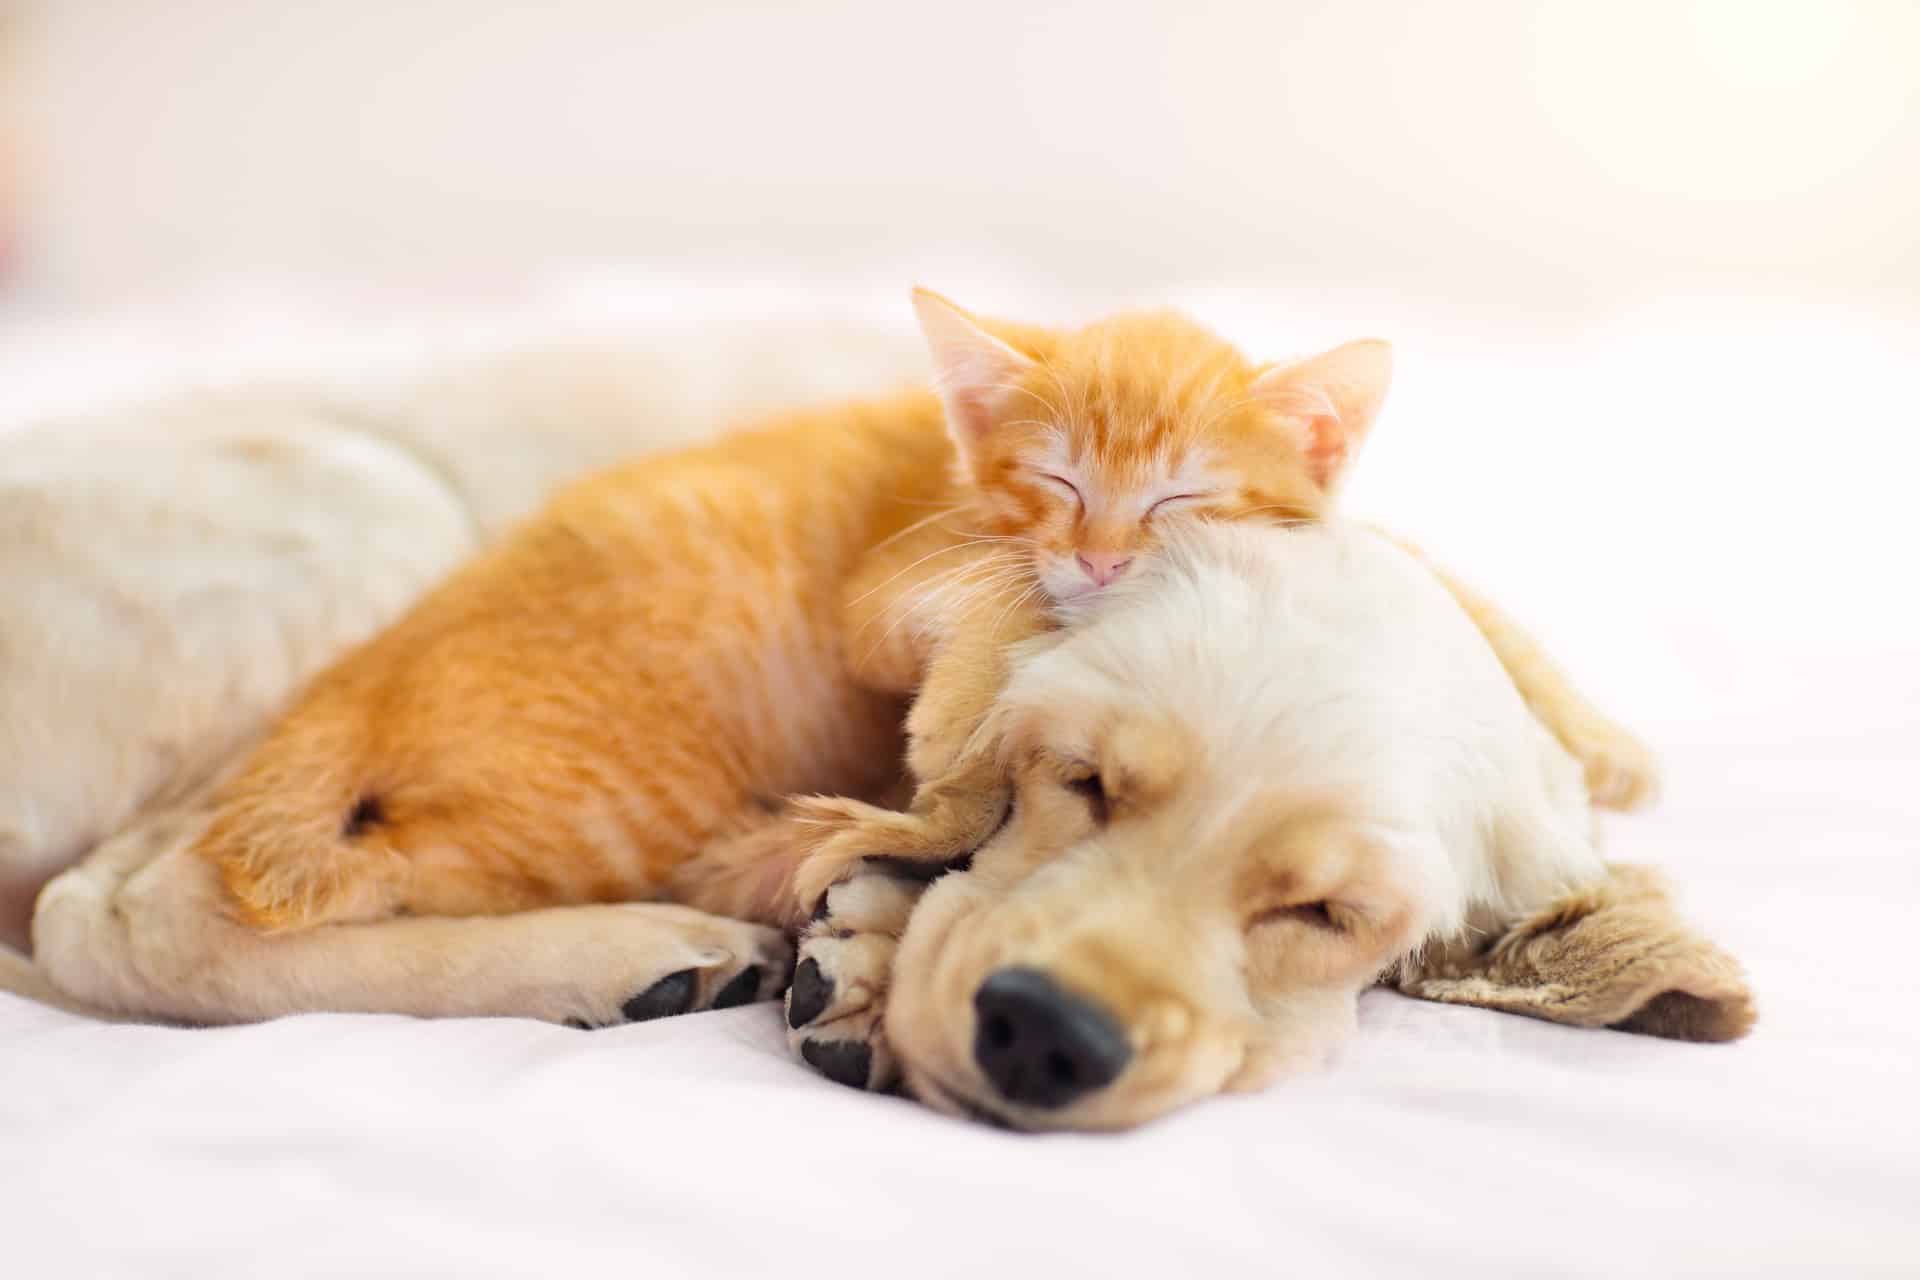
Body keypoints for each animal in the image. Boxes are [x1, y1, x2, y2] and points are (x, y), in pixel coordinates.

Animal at [52, 289, 1658, 1028]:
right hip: (393, 564)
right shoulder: (918, 585)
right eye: (1091, 792)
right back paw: (650, 953)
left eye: (1186, 496)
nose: (1103, 561)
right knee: (133, 915)